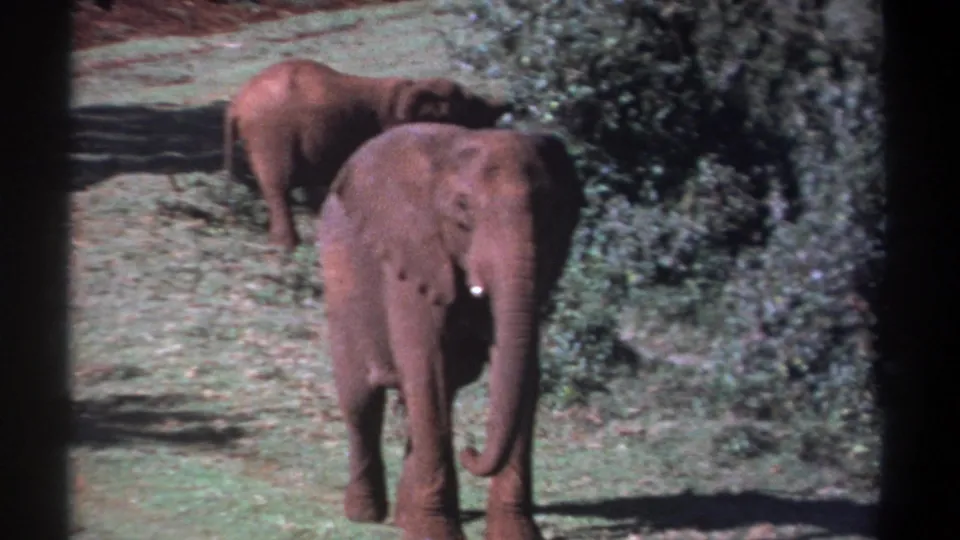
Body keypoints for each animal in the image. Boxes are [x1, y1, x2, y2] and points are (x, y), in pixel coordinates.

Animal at [222, 58, 511, 250]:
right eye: (467, 109)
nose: (506, 106)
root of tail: (236, 104)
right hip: (269, 135)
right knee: (277, 188)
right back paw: (287, 247)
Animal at [316, 122, 586, 540]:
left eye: (550, 210)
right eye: (463, 209)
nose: (471, 448)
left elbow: (526, 374)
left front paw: (517, 535)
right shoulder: (412, 256)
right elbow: (426, 366)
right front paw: (435, 533)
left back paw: (403, 519)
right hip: (338, 277)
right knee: (362, 401)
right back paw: (366, 515)